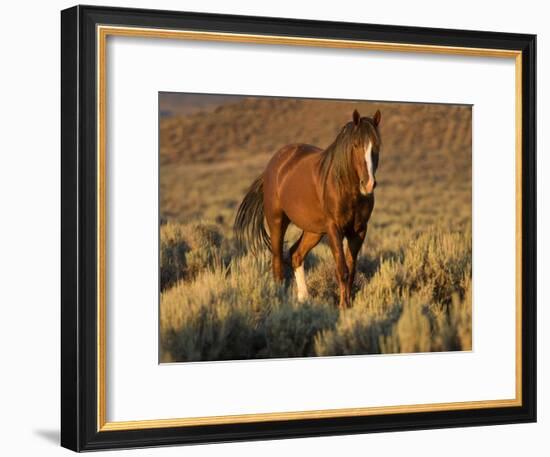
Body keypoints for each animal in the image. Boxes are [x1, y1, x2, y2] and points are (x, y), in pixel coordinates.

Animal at [234, 109, 384, 310]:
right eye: (356, 145)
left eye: (376, 146)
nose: (368, 184)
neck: (344, 186)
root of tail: (274, 164)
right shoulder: (334, 229)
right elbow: (342, 269)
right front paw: (343, 306)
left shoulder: (358, 231)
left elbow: (352, 270)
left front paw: (348, 304)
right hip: (277, 222)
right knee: (278, 262)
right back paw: (281, 300)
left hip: (313, 231)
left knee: (296, 255)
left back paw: (303, 299)